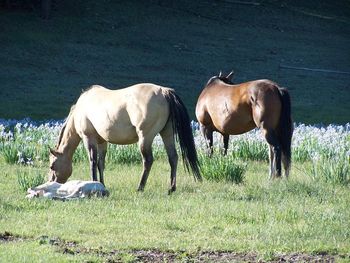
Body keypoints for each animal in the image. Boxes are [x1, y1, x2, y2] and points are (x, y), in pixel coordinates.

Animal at [48, 84, 201, 194]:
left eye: (52, 166)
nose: (52, 181)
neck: (81, 108)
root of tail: (164, 91)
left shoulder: (88, 138)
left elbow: (92, 162)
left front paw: (94, 182)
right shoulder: (102, 142)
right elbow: (101, 163)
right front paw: (102, 184)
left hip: (145, 138)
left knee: (148, 161)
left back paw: (140, 187)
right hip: (167, 134)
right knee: (173, 158)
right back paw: (171, 188)